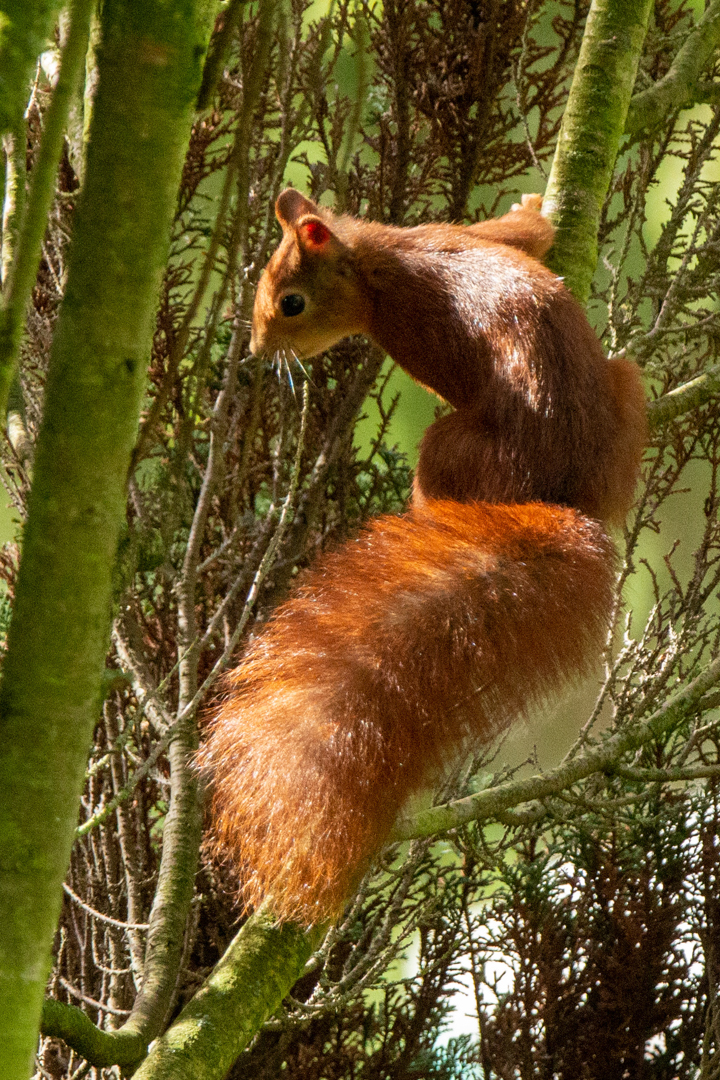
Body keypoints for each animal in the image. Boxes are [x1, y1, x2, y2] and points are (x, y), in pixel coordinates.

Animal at [197, 190, 647, 924]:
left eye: (290, 302)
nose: (261, 351)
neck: (379, 260)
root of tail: (563, 500)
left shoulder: (411, 321)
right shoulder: (462, 232)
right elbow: (528, 232)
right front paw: (535, 204)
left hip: (451, 450)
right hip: (627, 389)